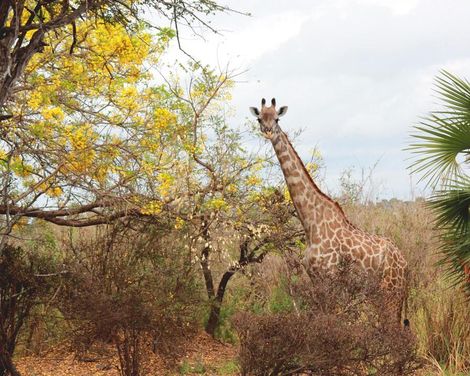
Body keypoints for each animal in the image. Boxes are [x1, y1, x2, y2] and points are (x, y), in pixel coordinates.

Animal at [250, 97, 408, 326]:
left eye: (277, 118)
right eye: (260, 118)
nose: (268, 131)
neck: (310, 222)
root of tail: (406, 265)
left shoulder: (330, 277)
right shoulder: (315, 278)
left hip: (391, 292)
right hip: (385, 294)